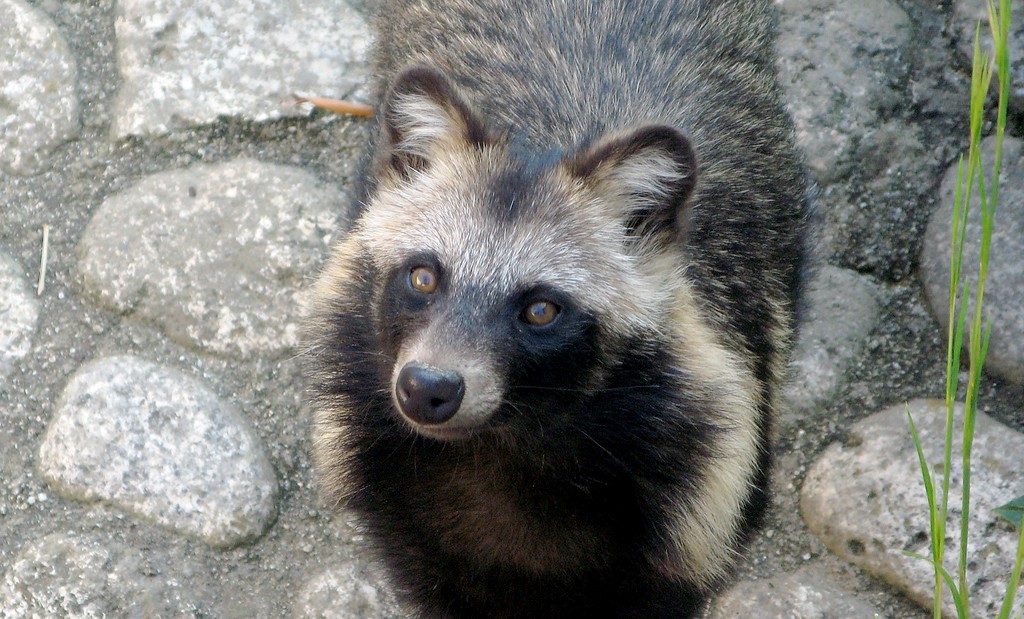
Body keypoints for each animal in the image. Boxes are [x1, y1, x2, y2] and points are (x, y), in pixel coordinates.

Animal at [304, 0, 809, 616]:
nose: (427, 388)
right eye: (423, 276)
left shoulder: (699, 500)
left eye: (541, 310)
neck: (500, 447)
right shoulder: (397, 495)